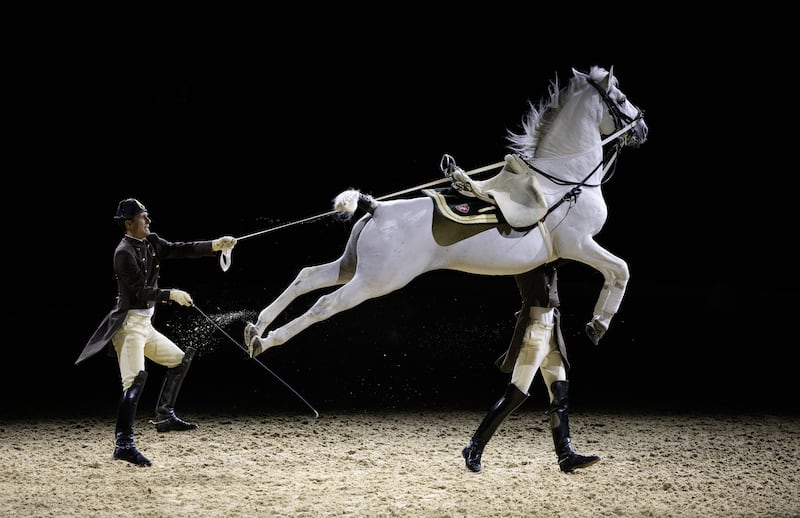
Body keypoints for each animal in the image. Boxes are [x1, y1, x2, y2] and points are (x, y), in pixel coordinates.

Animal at [247, 65, 648, 360]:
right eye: (621, 98)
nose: (643, 126)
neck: (563, 180)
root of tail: (377, 208)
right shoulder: (578, 245)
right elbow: (621, 270)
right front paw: (599, 324)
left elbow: (614, 272)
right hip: (375, 281)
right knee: (324, 304)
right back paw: (265, 342)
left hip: (351, 267)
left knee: (307, 277)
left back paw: (256, 328)